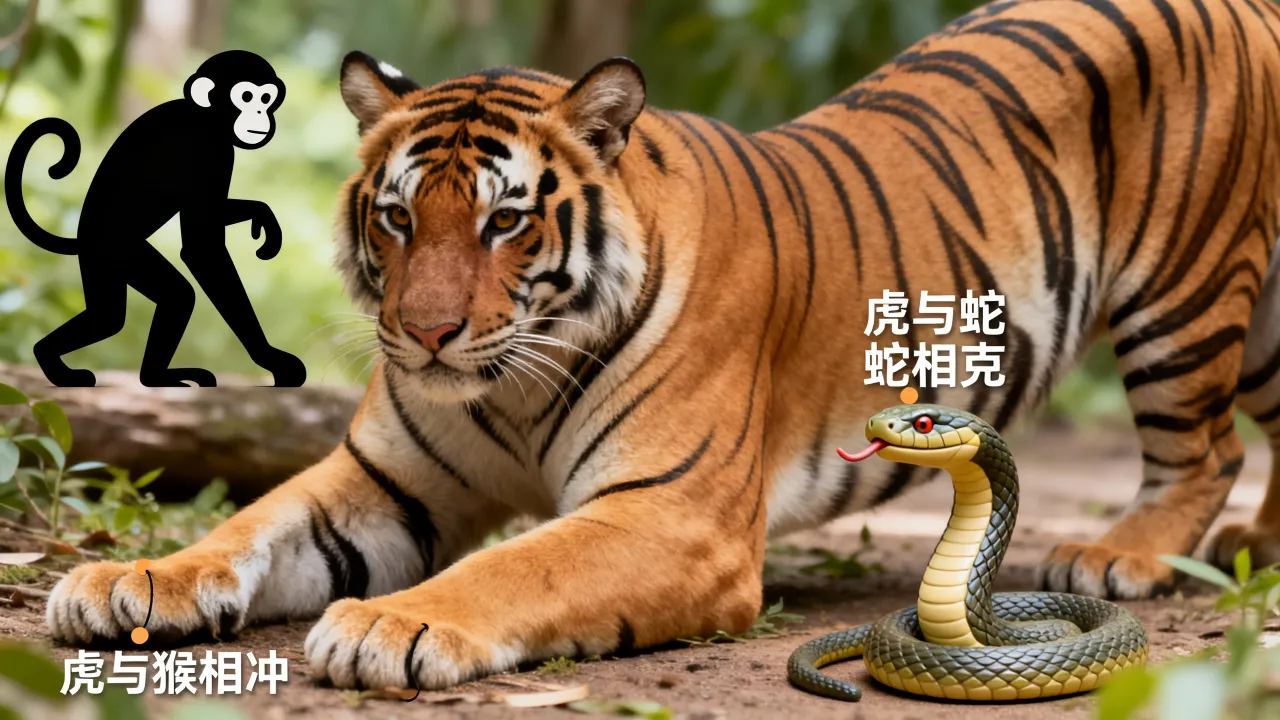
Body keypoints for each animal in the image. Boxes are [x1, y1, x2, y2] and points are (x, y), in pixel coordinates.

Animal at [45, 0, 1280, 692]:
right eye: (396, 217)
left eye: (502, 220)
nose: (425, 333)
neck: (503, 385)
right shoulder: (381, 481)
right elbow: (248, 528)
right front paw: (127, 579)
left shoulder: (671, 513)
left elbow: (520, 563)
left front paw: (396, 622)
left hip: (1180, 289)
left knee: (1207, 447)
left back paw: (1118, 555)